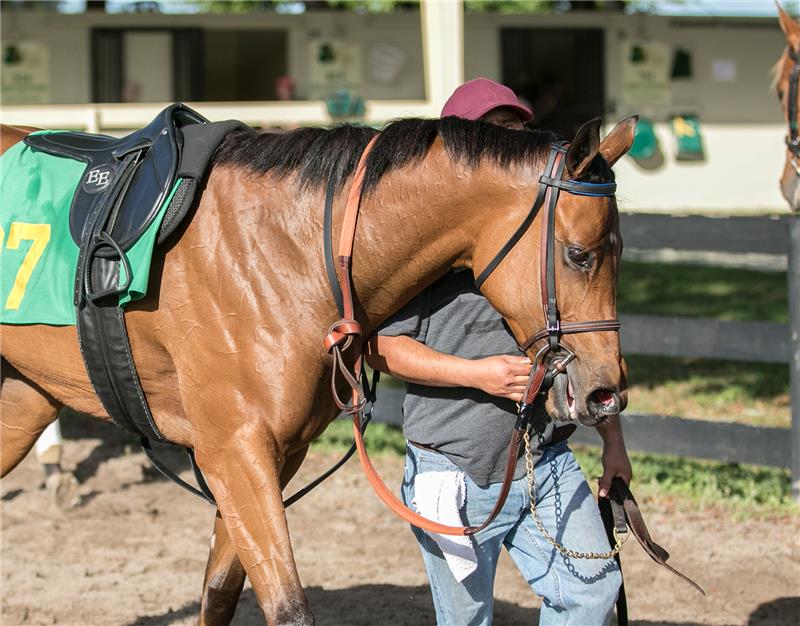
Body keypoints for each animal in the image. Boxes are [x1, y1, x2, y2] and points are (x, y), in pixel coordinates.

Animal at [1, 113, 636, 624]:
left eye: (621, 250)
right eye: (579, 254)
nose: (605, 393)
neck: (296, 250)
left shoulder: (277, 455)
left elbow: (219, 591)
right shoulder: (233, 451)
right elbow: (286, 605)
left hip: (23, 401)